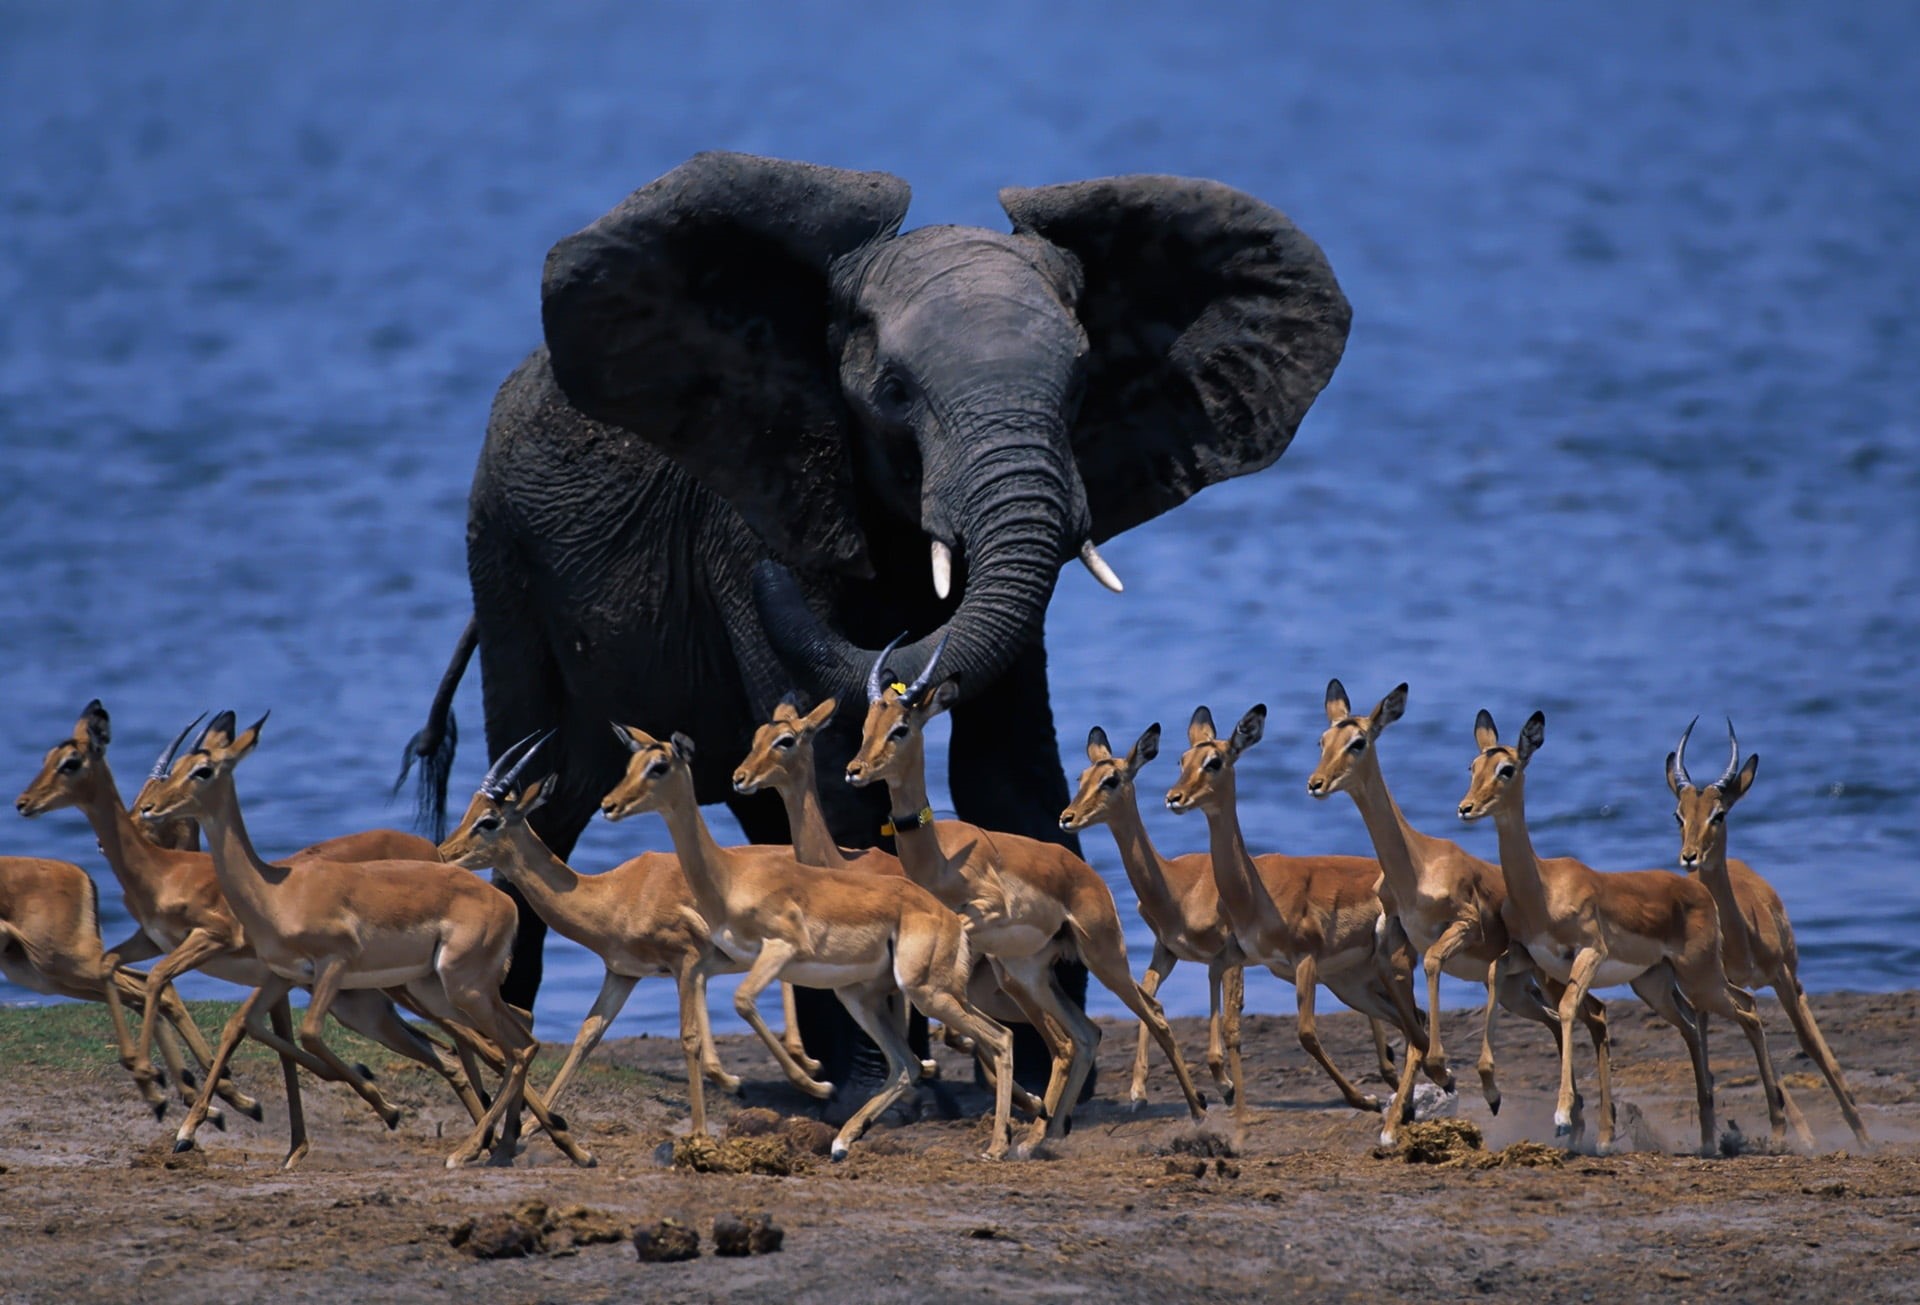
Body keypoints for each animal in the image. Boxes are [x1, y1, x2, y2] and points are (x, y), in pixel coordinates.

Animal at [398, 150, 1349, 1097]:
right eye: (892, 392)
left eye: (1083, 386)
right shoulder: (752, 506)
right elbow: (832, 769)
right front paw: (879, 1089)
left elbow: (1009, 770)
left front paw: (1049, 1074)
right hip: (503, 558)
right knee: (541, 779)